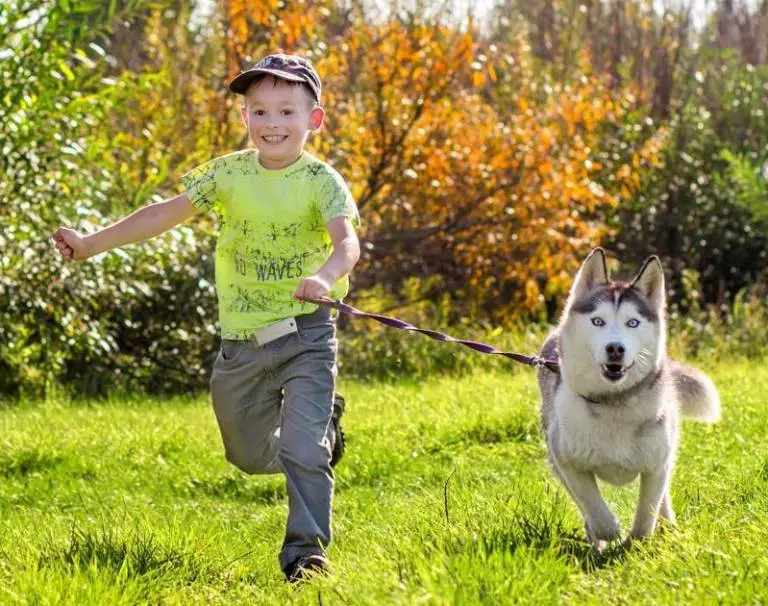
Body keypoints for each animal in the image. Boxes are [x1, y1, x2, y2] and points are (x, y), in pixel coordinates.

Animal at [536, 249, 720, 548]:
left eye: (632, 322)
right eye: (597, 321)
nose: (615, 349)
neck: (613, 402)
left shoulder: (657, 464)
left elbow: (647, 513)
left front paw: (636, 542)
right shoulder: (567, 462)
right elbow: (594, 509)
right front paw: (609, 532)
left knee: (663, 499)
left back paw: (669, 526)